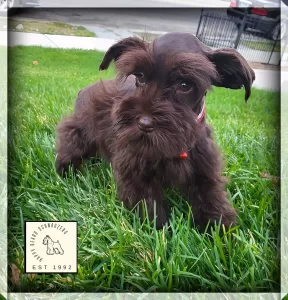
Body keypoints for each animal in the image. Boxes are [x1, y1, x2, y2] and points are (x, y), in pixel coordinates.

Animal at [55, 32, 255, 230]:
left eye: (185, 85)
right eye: (140, 76)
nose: (144, 123)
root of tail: (84, 90)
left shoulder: (205, 170)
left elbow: (212, 198)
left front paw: (221, 230)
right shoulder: (135, 171)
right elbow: (149, 206)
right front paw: (160, 231)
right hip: (81, 132)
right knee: (69, 143)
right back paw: (66, 171)